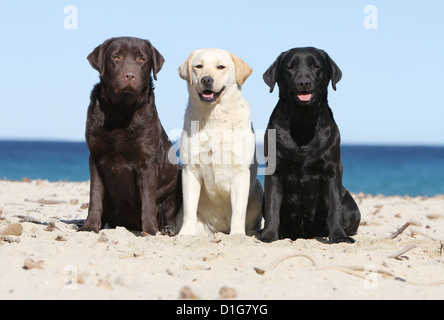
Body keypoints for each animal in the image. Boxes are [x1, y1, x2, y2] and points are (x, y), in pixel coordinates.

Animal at [80, 37, 182, 235]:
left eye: (142, 59)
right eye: (116, 57)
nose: (130, 75)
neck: (120, 111)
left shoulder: (147, 163)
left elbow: (148, 202)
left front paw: (150, 231)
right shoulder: (95, 158)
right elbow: (94, 196)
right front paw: (90, 226)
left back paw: (168, 229)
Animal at [176, 49, 262, 235]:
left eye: (221, 67)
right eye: (198, 66)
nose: (206, 79)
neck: (214, 117)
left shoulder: (240, 172)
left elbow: (238, 210)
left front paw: (237, 234)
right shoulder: (190, 170)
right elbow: (190, 208)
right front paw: (186, 233)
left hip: (258, 188)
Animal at [260, 47, 360, 242]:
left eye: (315, 66)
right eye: (290, 67)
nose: (304, 82)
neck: (303, 124)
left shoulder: (331, 171)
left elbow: (334, 207)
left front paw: (338, 236)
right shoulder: (274, 172)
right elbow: (272, 208)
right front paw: (268, 235)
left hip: (351, 205)